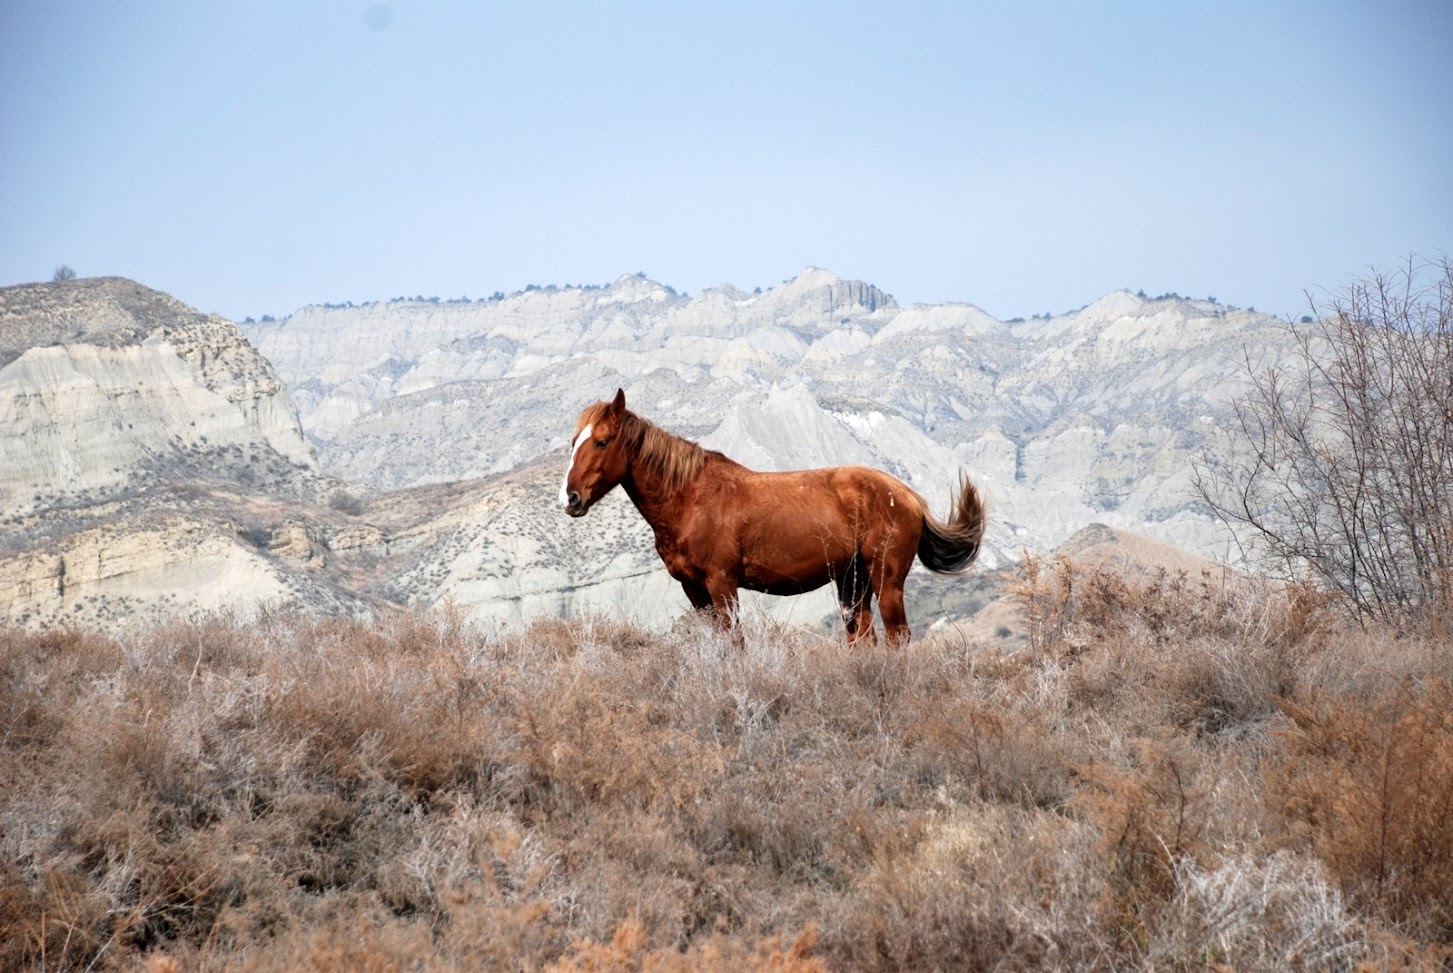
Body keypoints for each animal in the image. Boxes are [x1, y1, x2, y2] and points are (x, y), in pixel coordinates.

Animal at [560, 388, 986, 644]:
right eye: (574, 442)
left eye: (601, 442)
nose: (570, 498)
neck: (691, 497)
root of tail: (909, 496)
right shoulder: (694, 589)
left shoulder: (722, 584)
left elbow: (735, 644)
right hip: (852, 582)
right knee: (863, 637)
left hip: (886, 581)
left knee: (897, 636)